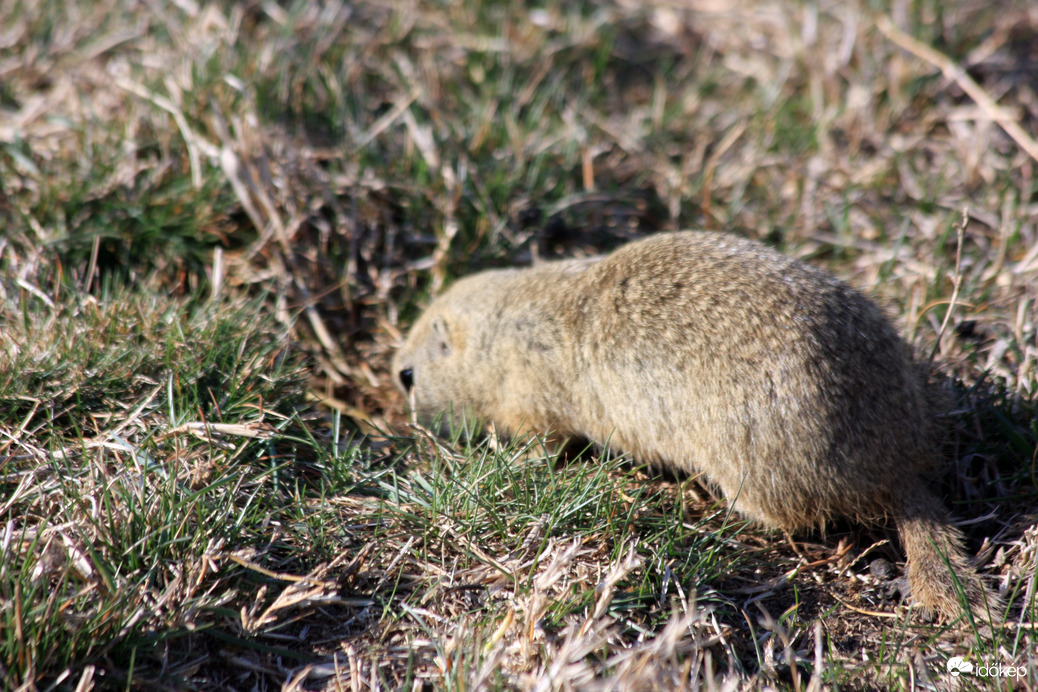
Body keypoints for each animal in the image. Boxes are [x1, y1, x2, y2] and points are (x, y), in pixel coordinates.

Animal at [392, 231, 992, 622]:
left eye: (406, 375)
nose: (411, 425)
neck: (505, 328)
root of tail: (900, 467)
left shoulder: (530, 401)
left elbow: (544, 444)